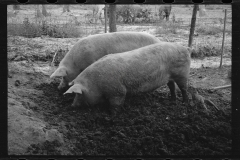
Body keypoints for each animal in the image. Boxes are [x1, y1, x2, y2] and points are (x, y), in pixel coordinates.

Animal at [63, 42, 191, 115]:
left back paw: (185, 103)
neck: (95, 84)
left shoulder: (118, 91)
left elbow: (116, 104)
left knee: (184, 88)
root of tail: (185, 48)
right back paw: (172, 100)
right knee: (172, 86)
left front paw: (111, 115)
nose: (72, 106)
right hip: (170, 77)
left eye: (79, 94)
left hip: (182, 73)